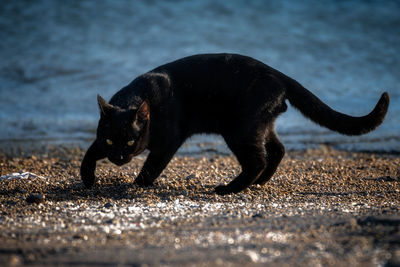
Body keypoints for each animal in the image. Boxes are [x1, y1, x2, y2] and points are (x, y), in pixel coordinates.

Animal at [79, 53, 390, 196]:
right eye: (112, 140)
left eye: (131, 141)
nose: (119, 158)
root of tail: (278, 74)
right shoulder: (103, 138)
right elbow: (90, 151)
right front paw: (88, 178)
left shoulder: (169, 140)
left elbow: (152, 165)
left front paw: (137, 184)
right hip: (259, 126)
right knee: (277, 150)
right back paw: (261, 182)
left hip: (239, 130)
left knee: (257, 160)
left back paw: (229, 189)